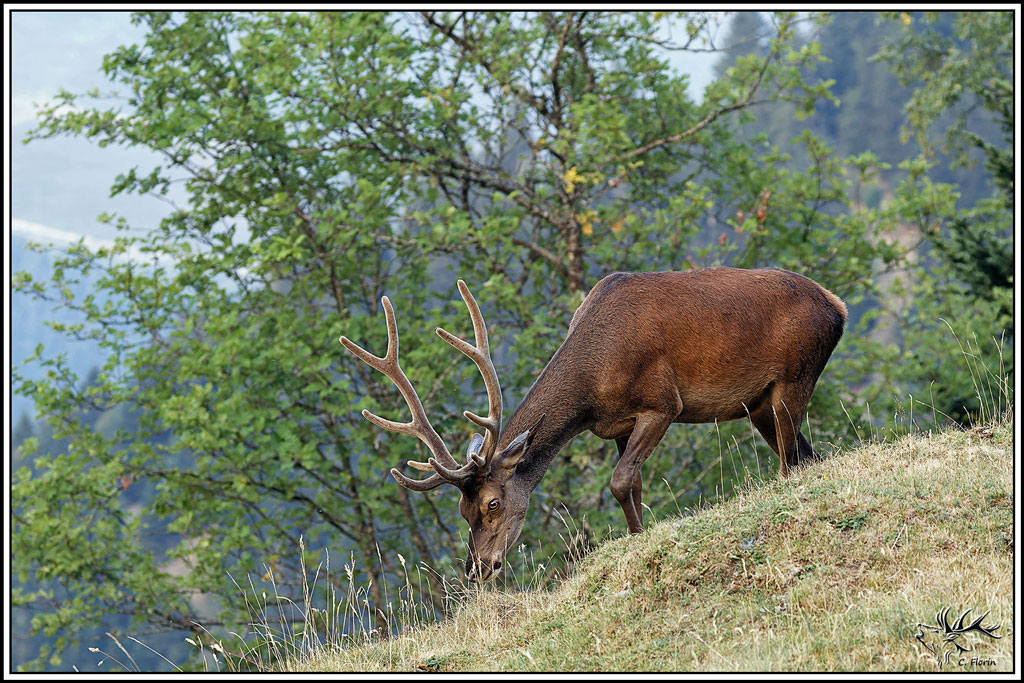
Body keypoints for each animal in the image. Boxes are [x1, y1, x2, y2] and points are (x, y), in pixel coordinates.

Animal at [339, 268, 847, 582]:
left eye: (492, 503)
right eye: (462, 512)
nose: (477, 568)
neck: (593, 385)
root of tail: (837, 307)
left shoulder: (662, 402)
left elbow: (620, 481)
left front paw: (639, 543)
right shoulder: (618, 424)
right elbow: (634, 484)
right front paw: (639, 535)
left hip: (795, 376)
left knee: (790, 460)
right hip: (759, 404)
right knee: (806, 454)